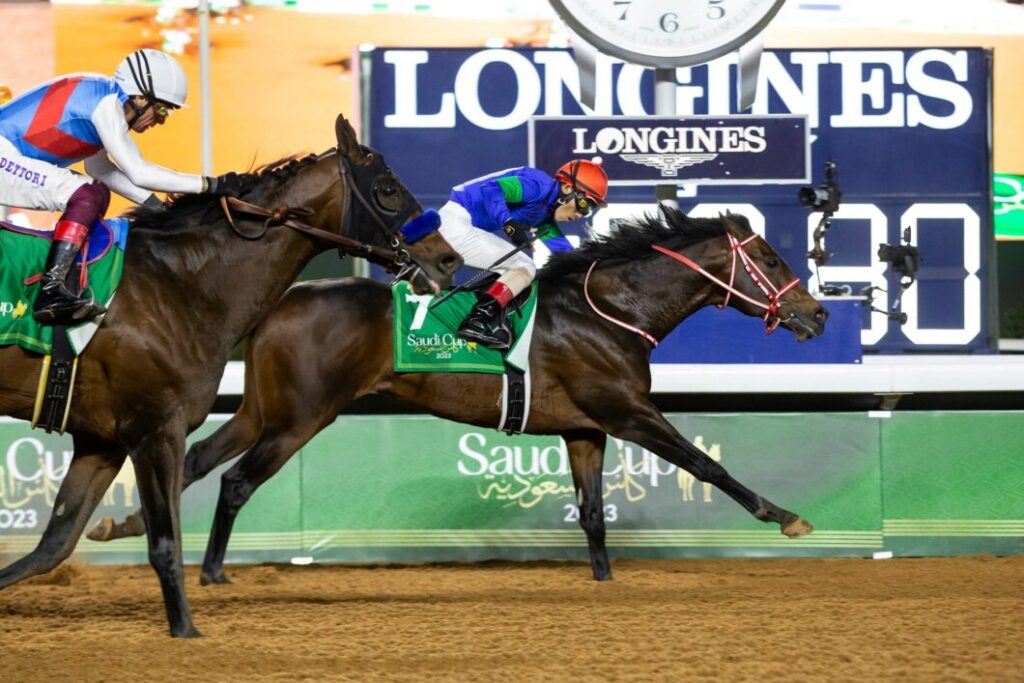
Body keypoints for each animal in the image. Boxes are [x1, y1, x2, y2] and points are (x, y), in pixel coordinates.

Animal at [0, 113, 460, 634]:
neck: (180, 283)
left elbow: (53, 544)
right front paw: (185, 630)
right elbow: (166, 542)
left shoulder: (103, 439)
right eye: (387, 189)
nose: (448, 258)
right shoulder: (155, 430)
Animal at [94, 208, 831, 589]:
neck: (609, 312)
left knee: (198, 460)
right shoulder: (627, 411)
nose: (817, 314)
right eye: (770, 257)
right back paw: (213, 571)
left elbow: (593, 512)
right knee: (238, 479)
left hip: (262, 408)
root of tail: (283, 300)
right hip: (303, 414)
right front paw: (787, 517)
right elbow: (708, 464)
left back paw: (121, 526)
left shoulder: (585, 429)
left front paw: (603, 580)